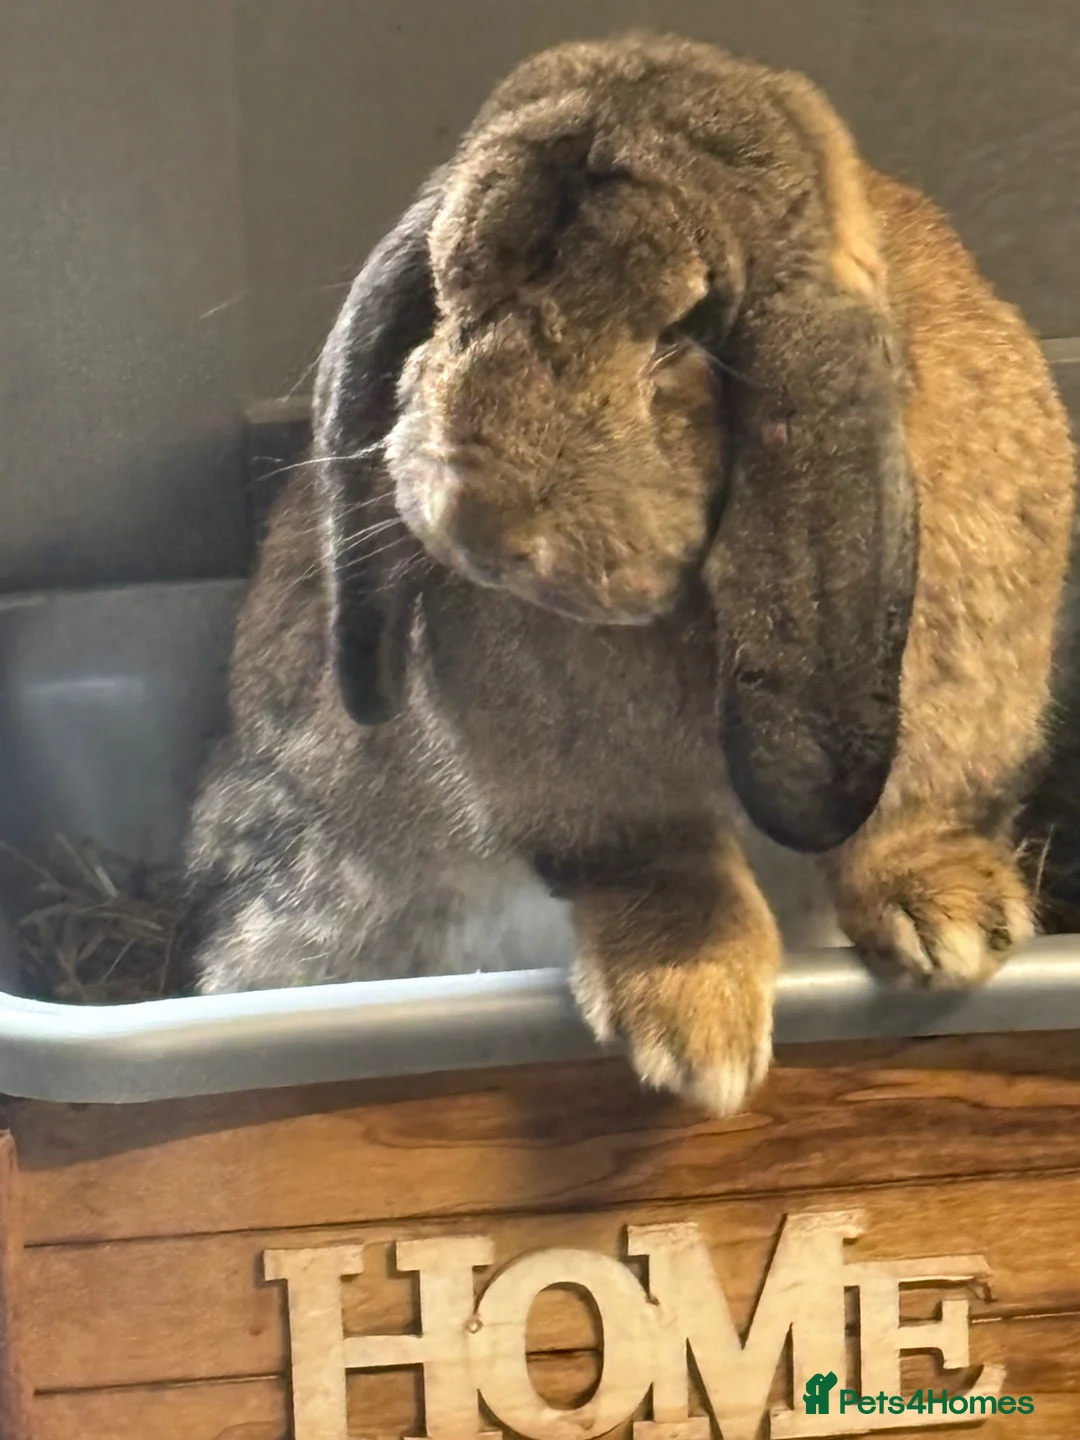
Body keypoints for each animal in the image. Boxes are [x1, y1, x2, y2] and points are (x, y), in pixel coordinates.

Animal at [180, 32, 1076, 1116]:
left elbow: (910, 818)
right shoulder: (594, 796)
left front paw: (951, 928)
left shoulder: (954, 724)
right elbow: (664, 870)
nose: (480, 522)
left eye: (685, 332)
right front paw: (695, 1037)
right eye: (445, 291)